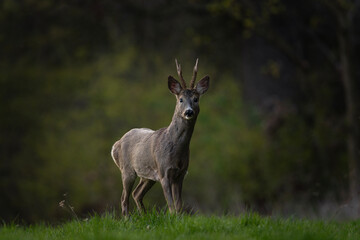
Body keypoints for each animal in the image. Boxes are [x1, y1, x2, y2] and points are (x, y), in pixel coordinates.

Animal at [111, 58, 210, 216]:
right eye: (180, 99)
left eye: (196, 99)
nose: (188, 112)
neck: (176, 151)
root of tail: (116, 144)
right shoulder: (164, 172)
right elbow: (171, 206)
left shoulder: (181, 174)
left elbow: (179, 205)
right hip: (126, 169)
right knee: (124, 198)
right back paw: (127, 219)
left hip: (147, 175)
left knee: (136, 193)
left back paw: (144, 216)